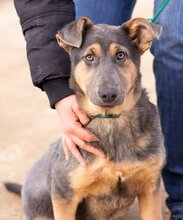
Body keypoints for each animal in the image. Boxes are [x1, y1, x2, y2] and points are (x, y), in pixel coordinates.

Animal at [5, 16, 166, 219]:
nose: (108, 95)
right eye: (89, 57)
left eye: (121, 55)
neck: (110, 121)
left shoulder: (150, 187)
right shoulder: (63, 194)